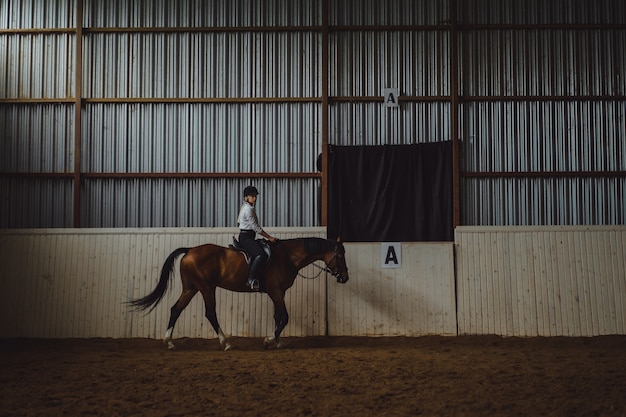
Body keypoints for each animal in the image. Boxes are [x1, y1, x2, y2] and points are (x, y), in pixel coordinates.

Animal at [129, 237, 348, 348]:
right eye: (340, 255)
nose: (345, 278)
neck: (287, 256)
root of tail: (190, 250)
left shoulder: (278, 292)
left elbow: (278, 316)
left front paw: (276, 341)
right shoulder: (276, 291)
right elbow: (284, 317)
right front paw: (269, 340)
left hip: (191, 288)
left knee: (176, 309)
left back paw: (169, 342)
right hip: (206, 287)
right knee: (210, 313)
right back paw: (224, 342)